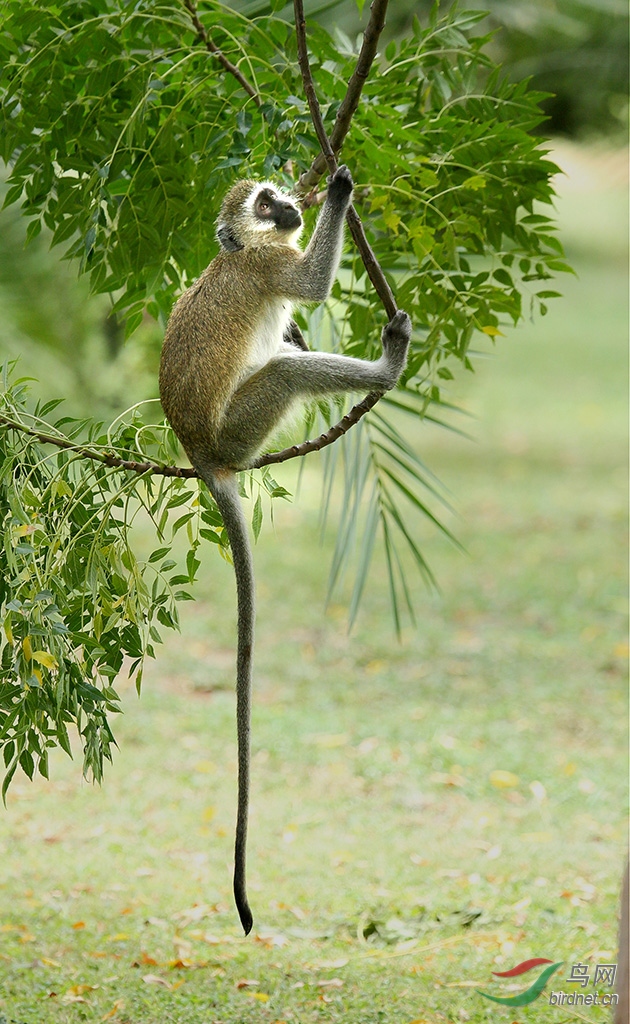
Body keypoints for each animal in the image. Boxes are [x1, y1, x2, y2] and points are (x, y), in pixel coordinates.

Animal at [159, 163, 411, 933]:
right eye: (264, 203)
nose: (292, 206)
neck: (245, 249)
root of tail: (202, 454)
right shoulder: (270, 264)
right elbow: (308, 285)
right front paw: (342, 187)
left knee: (289, 362)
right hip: (243, 426)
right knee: (285, 375)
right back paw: (385, 370)